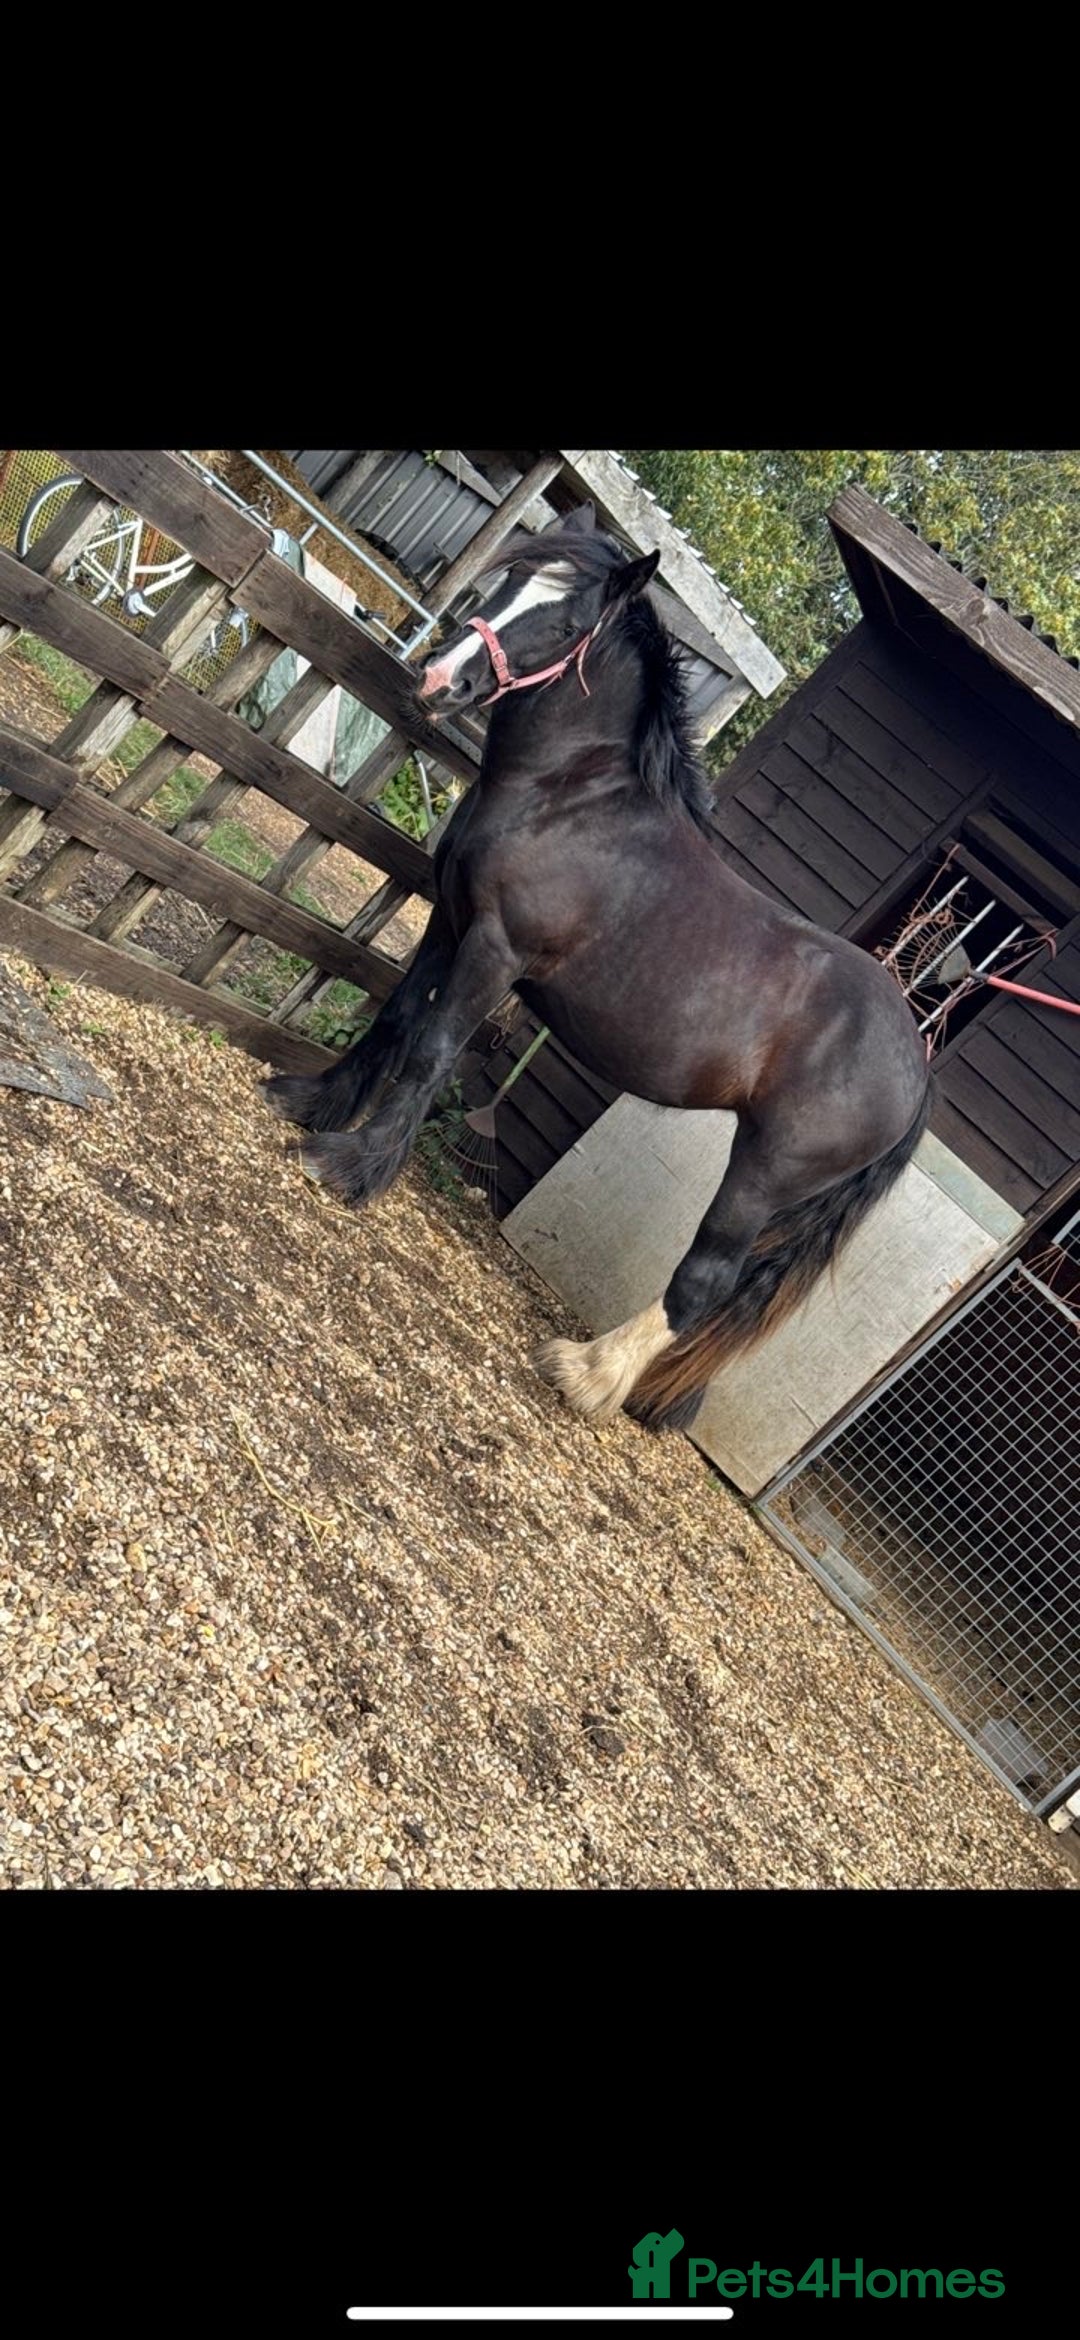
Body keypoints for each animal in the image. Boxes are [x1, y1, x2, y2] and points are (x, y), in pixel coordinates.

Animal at [263, 502, 930, 1434]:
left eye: (567, 623)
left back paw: (586, 1373)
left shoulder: (494, 949)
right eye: (508, 582)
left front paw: (350, 1167)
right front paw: (307, 1102)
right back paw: (657, 1399)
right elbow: (395, 1016)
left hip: (766, 1170)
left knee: (706, 1280)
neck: (572, 802)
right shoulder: (450, 919)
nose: (440, 679)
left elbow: (431, 1048)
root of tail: (915, 1066)